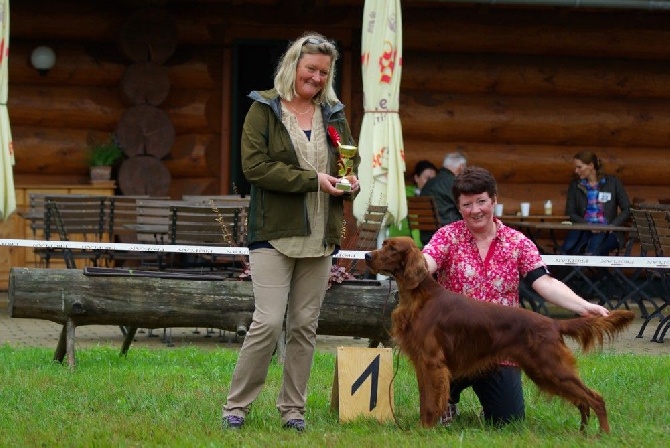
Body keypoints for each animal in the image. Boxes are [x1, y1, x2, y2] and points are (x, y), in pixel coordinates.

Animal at [364, 236, 636, 432]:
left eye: (392, 248)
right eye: (383, 245)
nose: (366, 255)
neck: (419, 297)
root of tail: (552, 323)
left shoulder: (432, 362)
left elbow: (431, 401)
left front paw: (424, 429)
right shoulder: (425, 363)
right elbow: (426, 399)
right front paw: (425, 427)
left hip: (551, 367)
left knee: (595, 398)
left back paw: (603, 434)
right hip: (544, 372)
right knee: (582, 401)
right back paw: (582, 433)